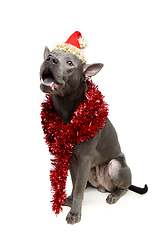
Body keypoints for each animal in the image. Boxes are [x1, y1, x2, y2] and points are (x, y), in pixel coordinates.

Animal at [39, 46, 148, 225]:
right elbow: (75, 183)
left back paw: (114, 195)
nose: (50, 60)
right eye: (51, 54)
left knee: (124, 186)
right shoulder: (73, 160)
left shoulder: (84, 158)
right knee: (85, 184)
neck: (67, 110)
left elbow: (78, 190)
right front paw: (70, 200)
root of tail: (102, 187)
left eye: (70, 63)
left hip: (115, 166)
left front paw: (75, 213)